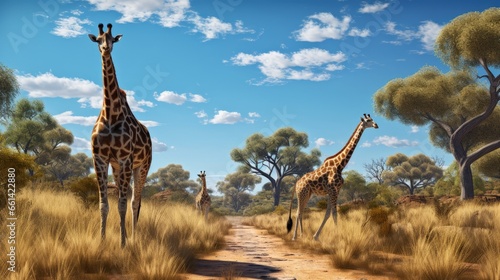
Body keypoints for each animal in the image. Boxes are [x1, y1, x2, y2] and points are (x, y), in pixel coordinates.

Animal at [88, 24, 153, 247]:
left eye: (112, 39)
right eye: (99, 39)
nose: (105, 49)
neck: (110, 113)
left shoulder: (126, 158)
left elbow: (123, 204)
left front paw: (123, 244)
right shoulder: (100, 158)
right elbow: (104, 204)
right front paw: (102, 241)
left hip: (142, 166)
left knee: (135, 201)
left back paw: (133, 237)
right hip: (117, 168)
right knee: (127, 201)